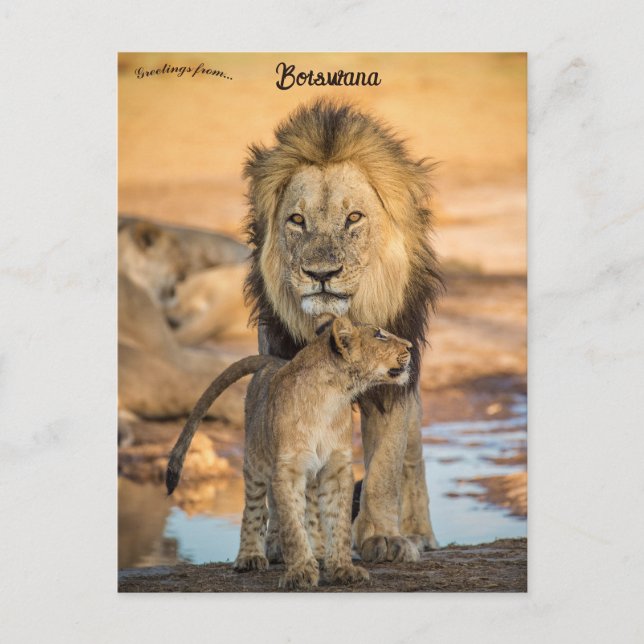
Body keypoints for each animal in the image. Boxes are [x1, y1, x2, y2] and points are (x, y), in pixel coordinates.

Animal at [166, 316, 413, 589]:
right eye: (379, 335)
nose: (411, 346)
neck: (332, 397)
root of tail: (273, 361)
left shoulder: (336, 469)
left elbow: (337, 523)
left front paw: (342, 569)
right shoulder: (288, 469)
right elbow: (292, 525)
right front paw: (301, 572)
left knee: (311, 513)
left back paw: (318, 552)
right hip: (255, 461)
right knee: (256, 509)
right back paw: (250, 557)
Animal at [243, 99, 443, 562]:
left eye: (353, 218)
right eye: (297, 220)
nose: (321, 274)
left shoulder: (394, 382)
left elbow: (386, 465)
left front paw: (384, 537)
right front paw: (286, 541)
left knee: (413, 456)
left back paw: (419, 532)